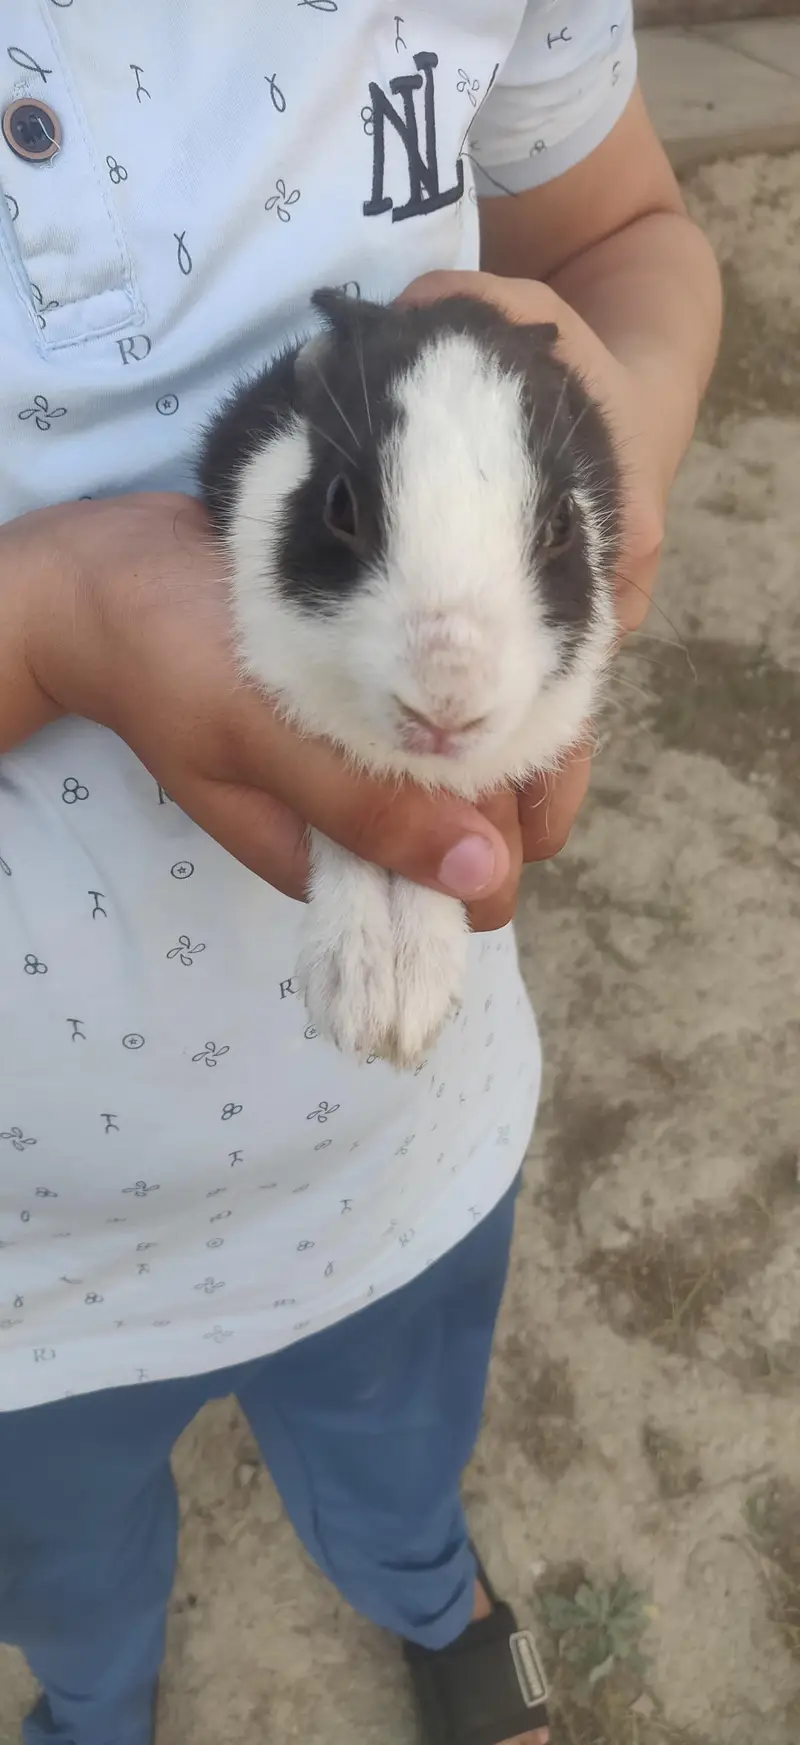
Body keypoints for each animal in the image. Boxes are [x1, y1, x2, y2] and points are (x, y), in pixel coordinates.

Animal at [198, 286, 622, 1068]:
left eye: (561, 523)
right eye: (339, 504)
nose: (447, 704)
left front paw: (416, 995)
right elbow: (343, 837)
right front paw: (358, 993)